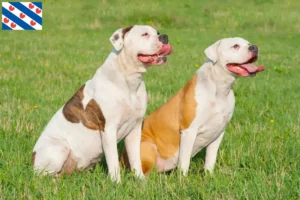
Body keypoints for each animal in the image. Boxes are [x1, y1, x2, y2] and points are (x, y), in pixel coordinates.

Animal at [31, 25, 172, 183]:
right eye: (145, 34)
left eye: (157, 33)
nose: (164, 37)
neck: (129, 79)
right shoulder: (109, 130)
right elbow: (113, 161)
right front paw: (117, 183)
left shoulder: (135, 129)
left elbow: (135, 158)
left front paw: (141, 181)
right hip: (58, 148)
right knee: (42, 176)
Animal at [120, 37, 264, 175]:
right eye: (235, 46)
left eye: (249, 43)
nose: (254, 47)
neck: (219, 89)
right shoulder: (189, 131)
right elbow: (184, 162)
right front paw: (183, 179)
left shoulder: (218, 133)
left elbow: (210, 159)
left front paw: (209, 176)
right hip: (148, 145)